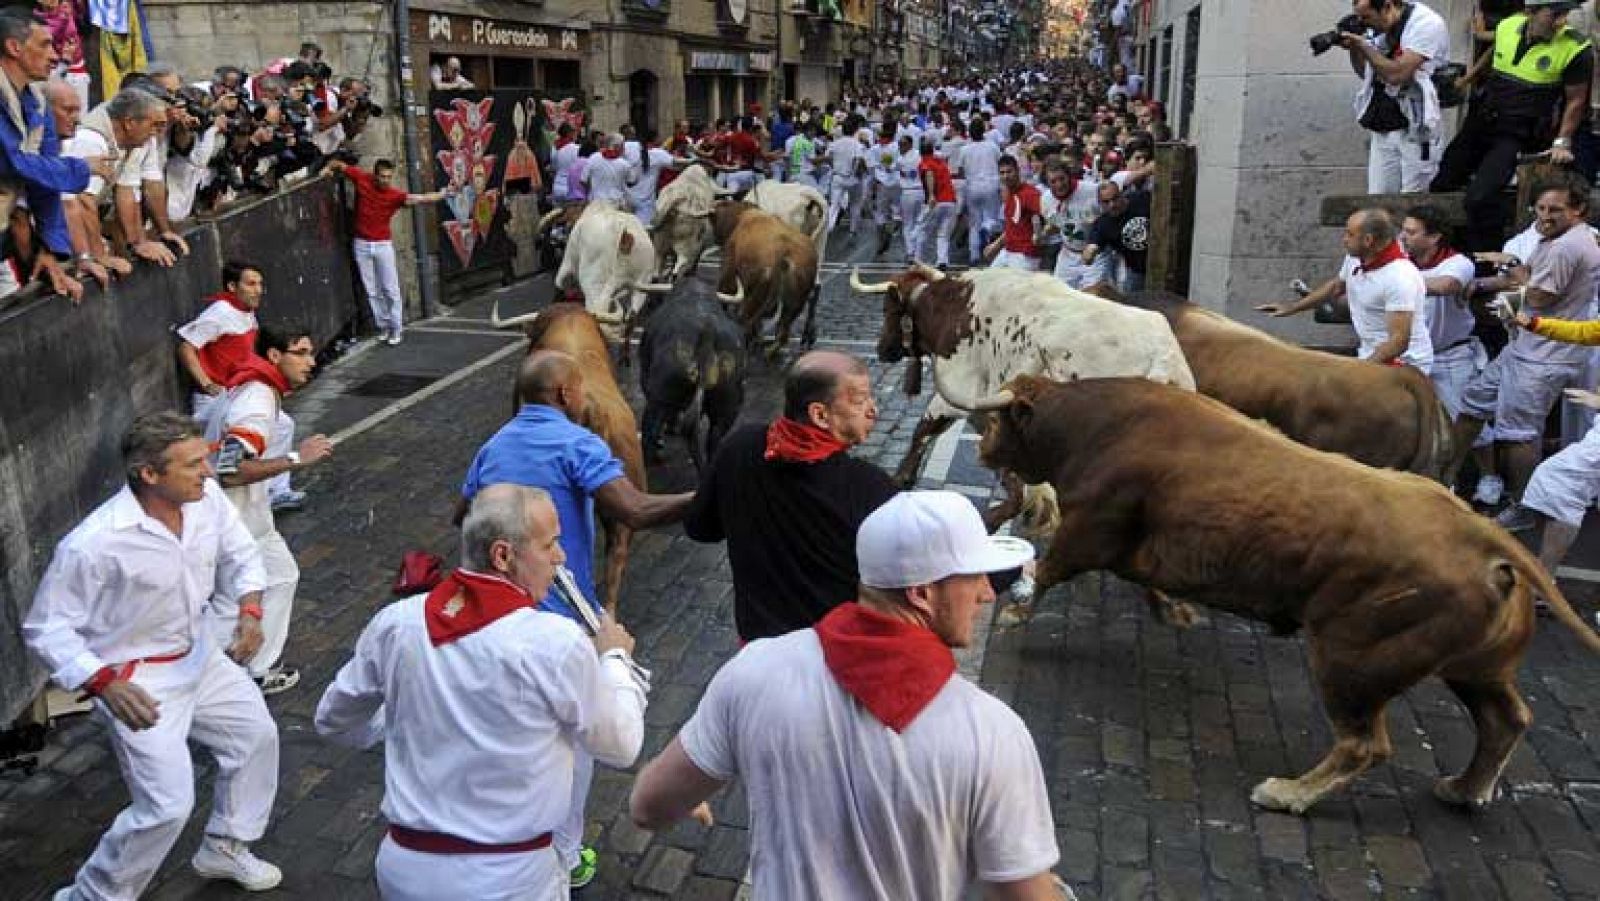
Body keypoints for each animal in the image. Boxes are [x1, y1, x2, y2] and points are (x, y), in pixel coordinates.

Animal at [710, 202, 819, 361]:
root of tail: (785, 254)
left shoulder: (728, 275)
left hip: (755, 296)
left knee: (747, 322)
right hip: (795, 303)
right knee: (782, 333)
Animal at [857, 264, 1196, 489]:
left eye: (887, 309)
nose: (881, 349)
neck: (956, 308)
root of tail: (1160, 353)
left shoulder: (957, 391)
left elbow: (923, 428)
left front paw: (902, 477)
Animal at [960, 374, 1600, 819]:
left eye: (998, 424)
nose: (984, 448)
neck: (1101, 423)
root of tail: (1485, 539)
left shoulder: (1091, 526)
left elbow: (1048, 568)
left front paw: (1015, 611)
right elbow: (1146, 580)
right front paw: (1174, 608)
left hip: (1352, 661)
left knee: (1365, 744)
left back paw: (1288, 793)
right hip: (1473, 668)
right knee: (1505, 719)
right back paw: (1465, 789)